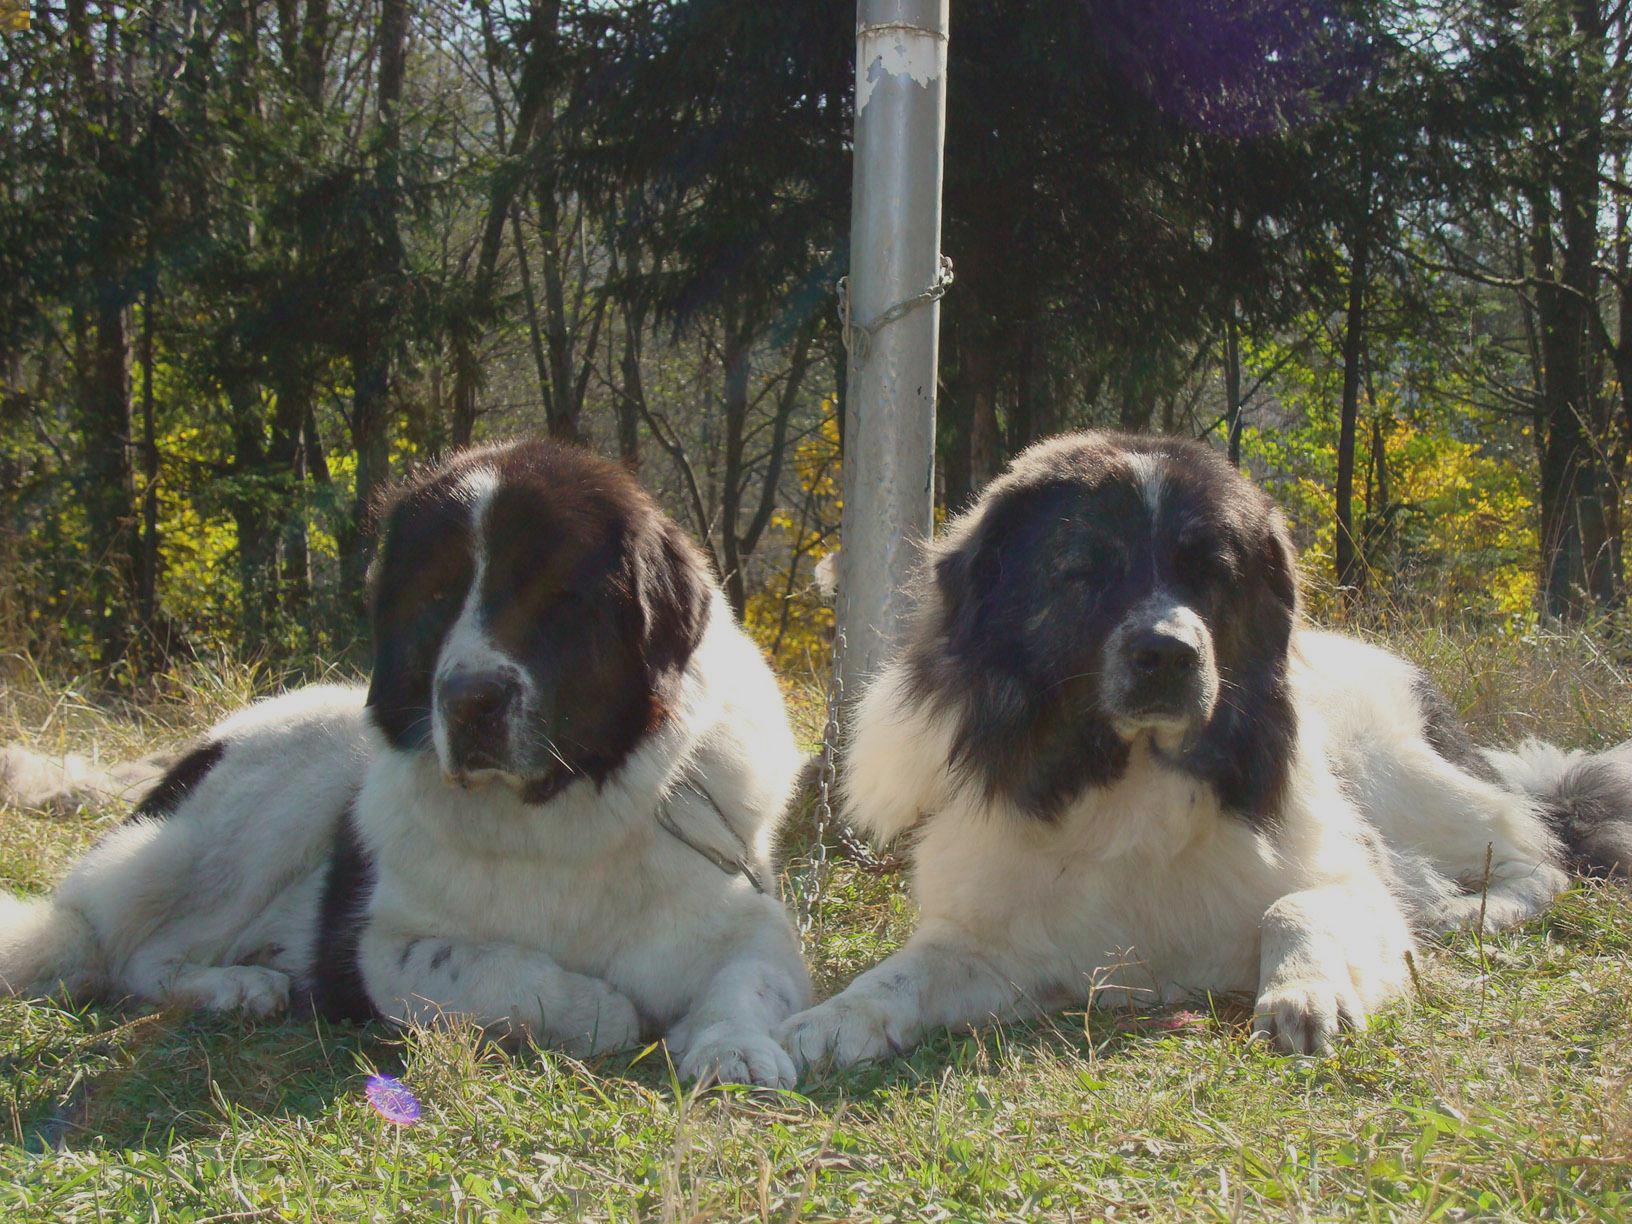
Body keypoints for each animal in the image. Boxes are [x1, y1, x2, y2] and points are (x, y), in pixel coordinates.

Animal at [0, 443, 812, 1090]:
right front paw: (601, 1007)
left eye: (555, 596)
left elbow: (749, 980)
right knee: (137, 953)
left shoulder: (750, 920)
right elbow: (497, 971)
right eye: (435, 595)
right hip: (284, 785)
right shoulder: (379, 950)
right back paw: (238, 986)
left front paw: (735, 1049)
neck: (560, 812)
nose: (468, 699)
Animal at [780, 430, 1632, 1070]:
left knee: (1537, 851)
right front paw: (834, 1017)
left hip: (1405, 776)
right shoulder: (998, 941)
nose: (1169, 654)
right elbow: (907, 973)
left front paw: (1306, 991)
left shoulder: (1340, 877)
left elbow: (1301, 902)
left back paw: (1469, 909)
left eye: (1213, 574)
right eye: (1085, 570)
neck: (1129, 781)